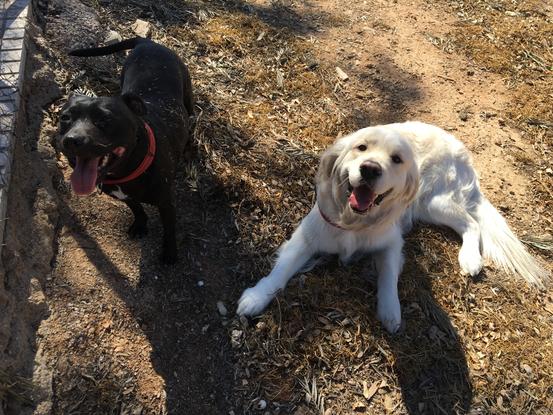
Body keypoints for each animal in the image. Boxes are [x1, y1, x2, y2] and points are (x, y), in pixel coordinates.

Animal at [58, 38, 194, 264]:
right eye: (65, 118)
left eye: (105, 119)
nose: (71, 140)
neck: (125, 172)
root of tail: (147, 42)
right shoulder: (123, 197)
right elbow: (136, 208)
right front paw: (140, 224)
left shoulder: (166, 204)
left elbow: (169, 230)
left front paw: (169, 253)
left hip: (187, 94)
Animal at [236, 122, 548, 334]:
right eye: (361, 147)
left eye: (397, 159)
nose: (370, 168)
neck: (356, 220)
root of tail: (462, 152)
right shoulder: (306, 237)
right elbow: (280, 272)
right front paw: (256, 297)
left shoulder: (391, 245)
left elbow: (388, 277)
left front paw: (390, 311)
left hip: (433, 202)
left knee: (471, 223)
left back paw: (470, 258)